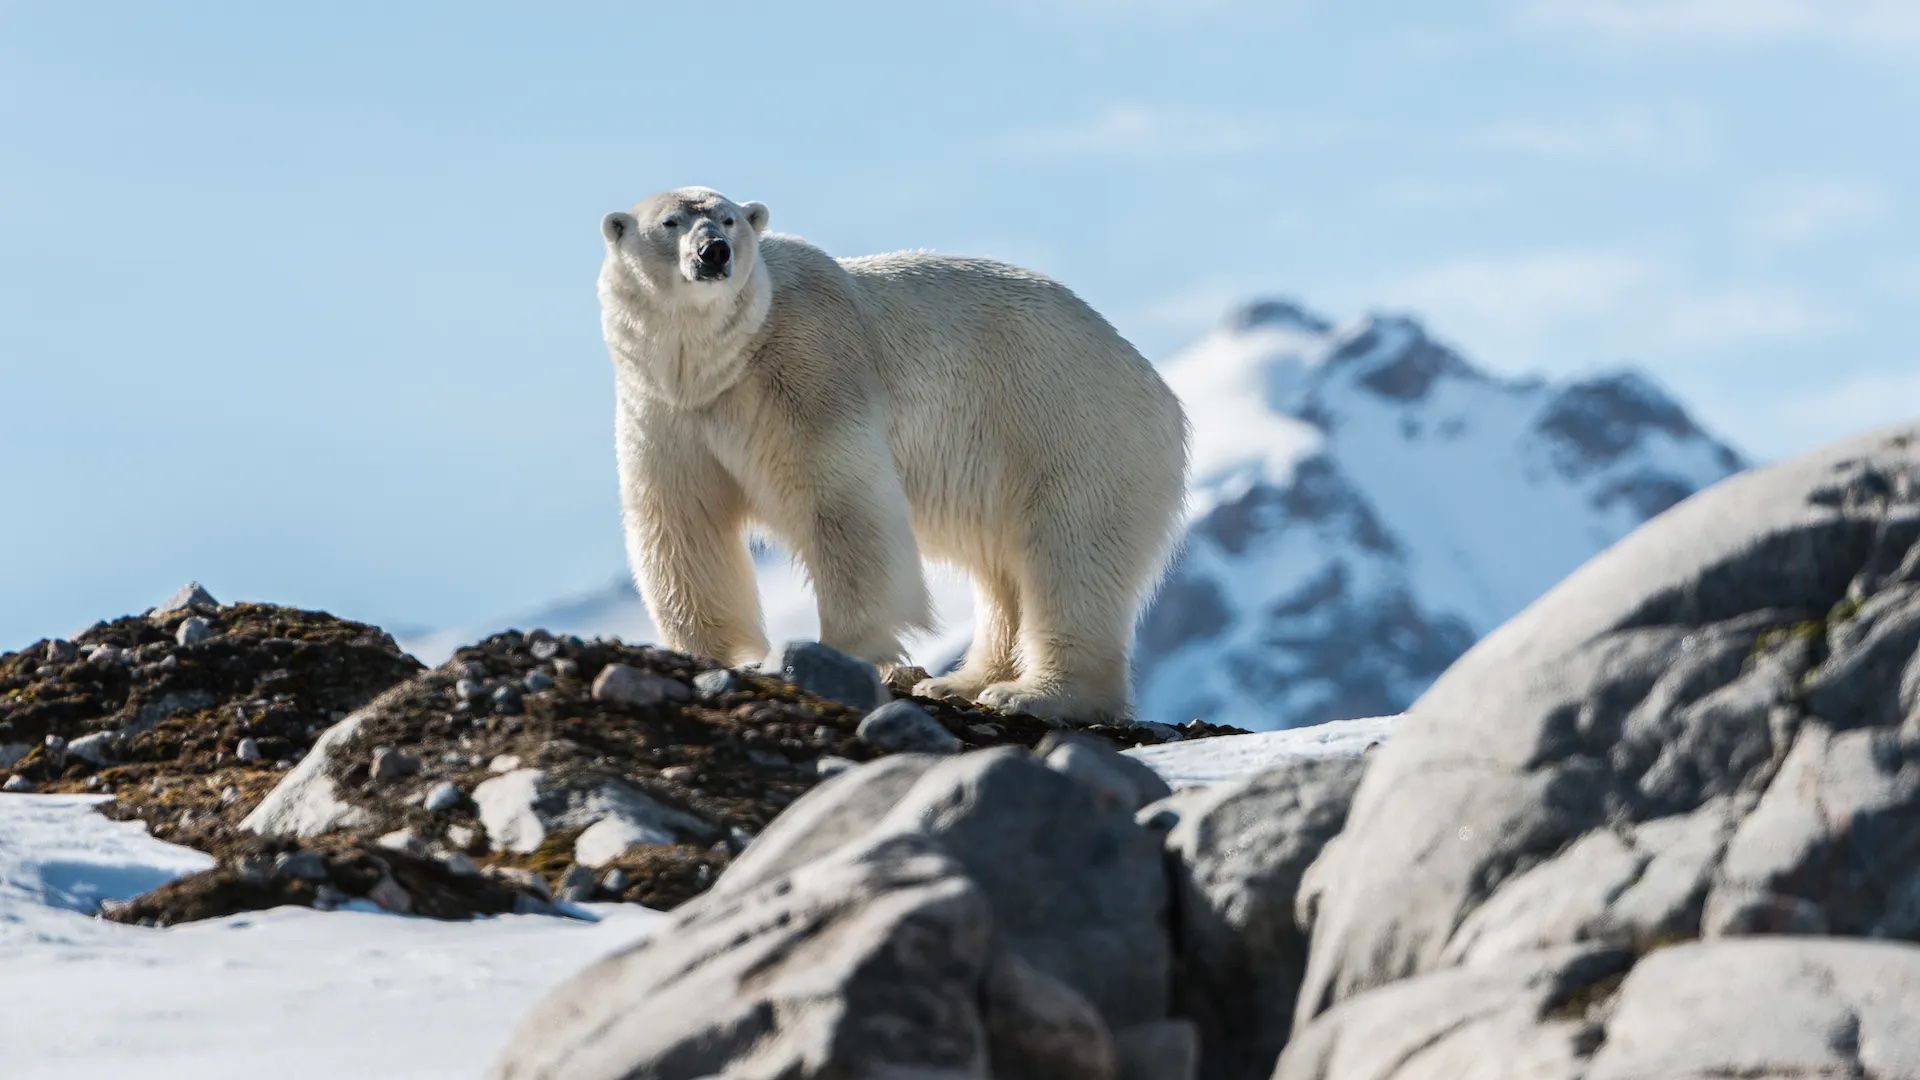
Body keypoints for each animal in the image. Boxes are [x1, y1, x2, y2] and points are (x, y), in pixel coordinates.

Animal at [602, 188, 1182, 718]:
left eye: (727, 219)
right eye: (670, 222)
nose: (714, 252)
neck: (723, 361)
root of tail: (1160, 390)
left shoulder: (809, 369)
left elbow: (842, 504)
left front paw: (839, 650)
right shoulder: (664, 410)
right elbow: (682, 522)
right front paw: (716, 653)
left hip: (1073, 432)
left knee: (1071, 556)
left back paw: (1036, 694)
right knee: (1004, 575)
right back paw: (963, 681)